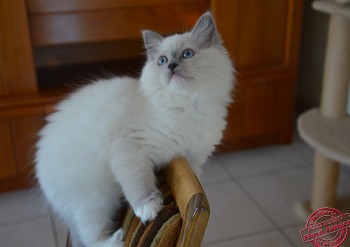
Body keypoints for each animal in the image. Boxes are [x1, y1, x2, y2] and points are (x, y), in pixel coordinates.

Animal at [35, 12, 235, 247]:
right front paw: (148, 208)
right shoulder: (129, 148)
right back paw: (117, 239)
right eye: (162, 61)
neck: (186, 107)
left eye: (187, 54)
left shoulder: (193, 158)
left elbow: (194, 175)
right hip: (96, 201)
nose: (171, 66)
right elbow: (139, 181)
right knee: (91, 238)